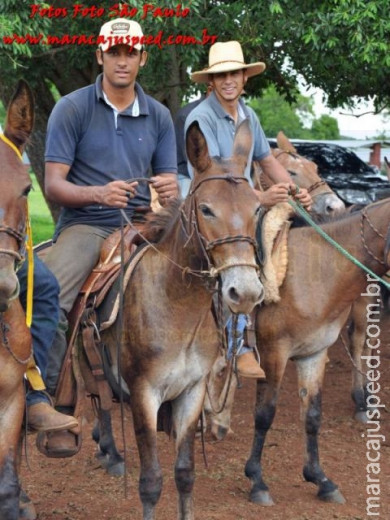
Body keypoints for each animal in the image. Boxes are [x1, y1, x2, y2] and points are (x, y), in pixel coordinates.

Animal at [80, 120, 264, 516]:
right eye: (207, 210)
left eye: (257, 208)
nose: (245, 292)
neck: (178, 310)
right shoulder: (143, 395)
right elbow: (151, 482)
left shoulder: (192, 392)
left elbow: (184, 473)